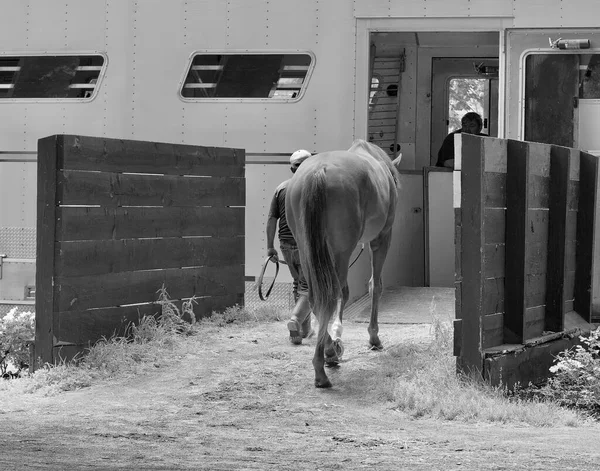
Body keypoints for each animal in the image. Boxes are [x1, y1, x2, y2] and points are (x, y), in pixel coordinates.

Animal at [286, 138, 404, 390]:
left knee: (316, 298)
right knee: (334, 294)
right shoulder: (381, 239)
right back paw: (324, 364)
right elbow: (374, 285)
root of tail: (318, 171)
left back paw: (328, 351)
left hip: (307, 250)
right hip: (342, 251)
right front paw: (373, 337)